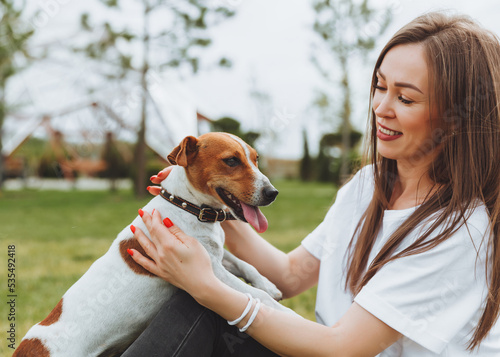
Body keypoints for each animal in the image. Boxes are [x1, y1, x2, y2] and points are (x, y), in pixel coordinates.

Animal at [14, 133, 290, 356]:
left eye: (255, 159)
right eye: (231, 160)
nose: (273, 193)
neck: (187, 206)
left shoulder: (215, 255)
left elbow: (246, 265)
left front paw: (268, 283)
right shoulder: (208, 268)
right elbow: (256, 296)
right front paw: (282, 314)